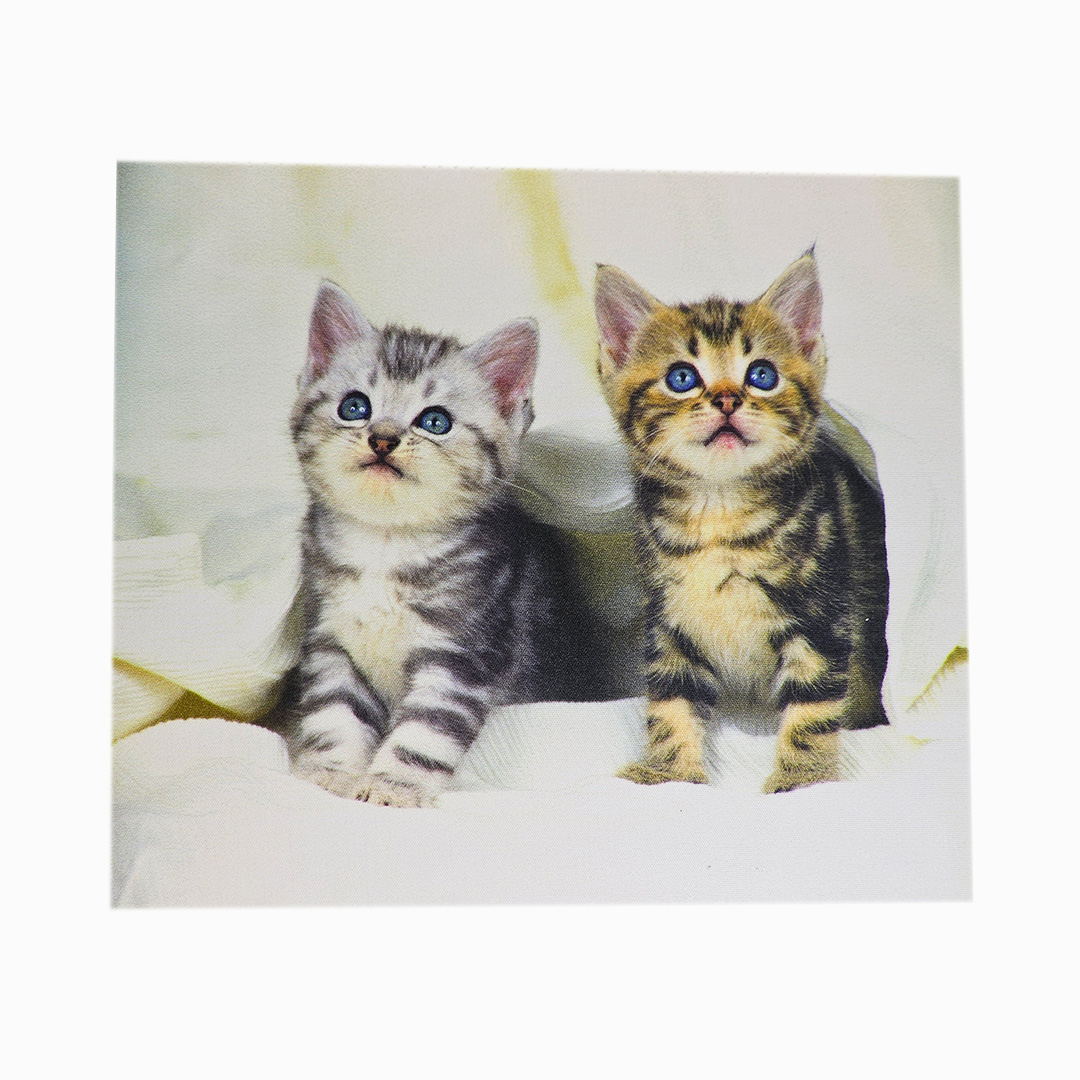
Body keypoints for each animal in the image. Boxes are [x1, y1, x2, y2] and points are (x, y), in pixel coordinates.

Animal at [266, 281, 592, 807]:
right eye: (354, 407)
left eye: (435, 421)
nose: (382, 439)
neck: (385, 544)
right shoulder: (330, 642)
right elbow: (335, 713)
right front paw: (331, 773)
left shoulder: (462, 653)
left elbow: (425, 731)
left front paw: (392, 785)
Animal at [593, 250, 889, 793]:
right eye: (682, 378)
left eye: (762, 375)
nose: (728, 399)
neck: (719, 511)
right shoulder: (670, 619)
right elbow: (670, 699)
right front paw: (666, 773)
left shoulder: (824, 614)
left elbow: (813, 704)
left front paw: (804, 776)